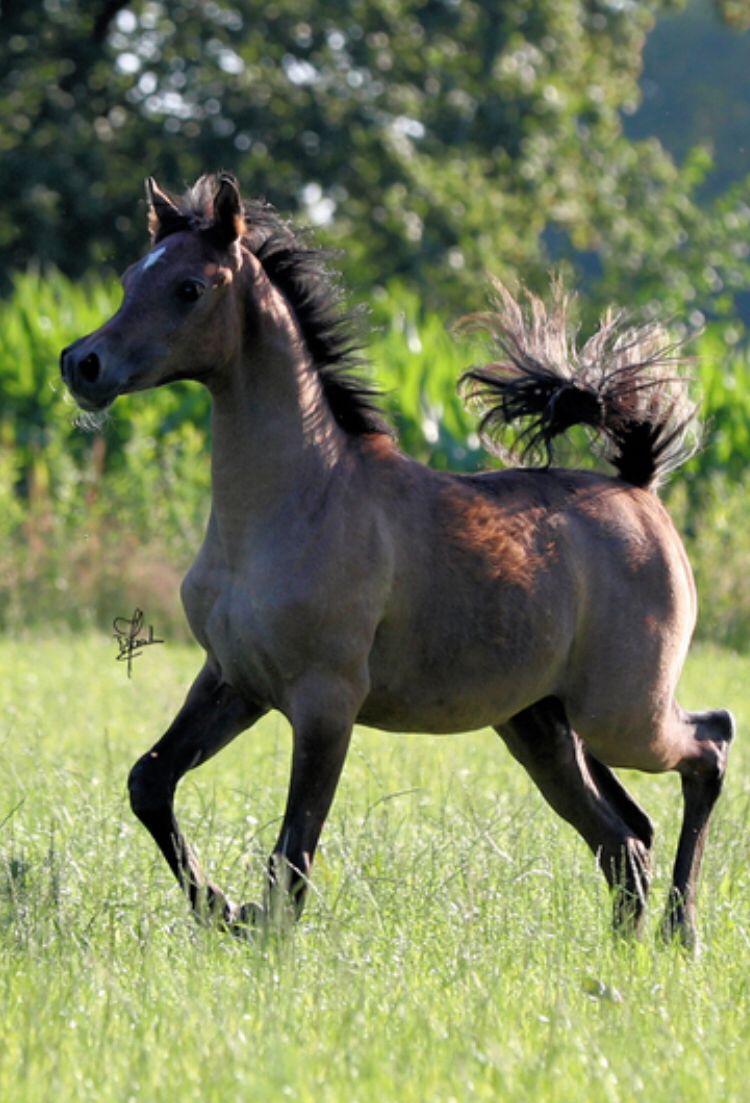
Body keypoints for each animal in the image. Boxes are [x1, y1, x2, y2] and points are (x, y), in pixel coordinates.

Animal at [60, 174, 732, 948]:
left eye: (189, 287)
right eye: (127, 279)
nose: (81, 363)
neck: (296, 501)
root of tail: (639, 488)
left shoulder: (326, 701)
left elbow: (293, 853)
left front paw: (256, 928)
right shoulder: (233, 679)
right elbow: (150, 783)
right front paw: (224, 910)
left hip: (623, 714)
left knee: (709, 746)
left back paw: (682, 931)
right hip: (541, 725)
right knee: (625, 836)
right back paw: (632, 948)